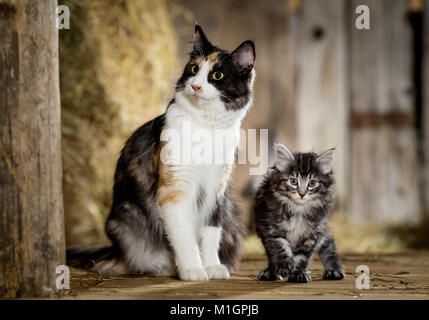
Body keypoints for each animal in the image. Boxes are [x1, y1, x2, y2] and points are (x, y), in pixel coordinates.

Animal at [66, 24, 254, 280]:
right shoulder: (174, 190)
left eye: (217, 76)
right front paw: (193, 270)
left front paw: (212, 266)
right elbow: (184, 236)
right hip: (124, 222)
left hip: (231, 212)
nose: (195, 85)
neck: (206, 126)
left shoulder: (216, 190)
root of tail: (115, 251)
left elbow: (209, 234)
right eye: (194, 69)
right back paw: (163, 267)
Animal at [254, 144, 344, 282]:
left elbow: (302, 257)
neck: (298, 209)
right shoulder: (270, 227)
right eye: (293, 181)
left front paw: (298, 273)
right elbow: (279, 247)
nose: (302, 194)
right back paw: (271, 272)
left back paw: (333, 270)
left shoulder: (312, 233)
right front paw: (285, 266)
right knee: (270, 254)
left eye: (312, 183)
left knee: (329, 244)